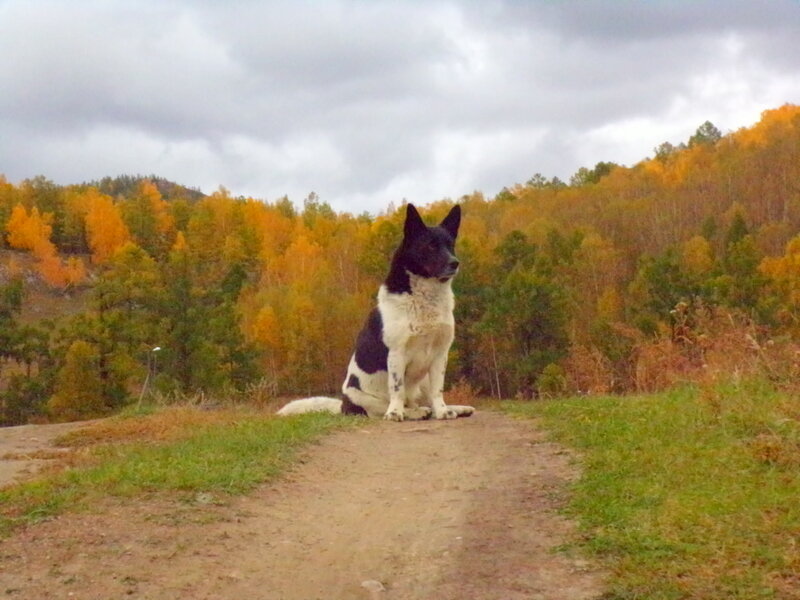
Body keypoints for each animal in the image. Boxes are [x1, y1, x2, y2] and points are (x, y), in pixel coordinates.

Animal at [276, 204, 472, 420]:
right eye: (430, 246)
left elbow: (438, 390)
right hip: (360, 396)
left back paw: (451, 409)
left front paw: (443, 411)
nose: (455, 263)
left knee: (425, 398)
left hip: (422, 380)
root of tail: (342, 406)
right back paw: (413, 412)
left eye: (450, 245)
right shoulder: (396, 353)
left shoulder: (440, 354)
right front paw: (395, 413)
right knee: (387, 407)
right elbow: (397, 388)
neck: (424, 298)